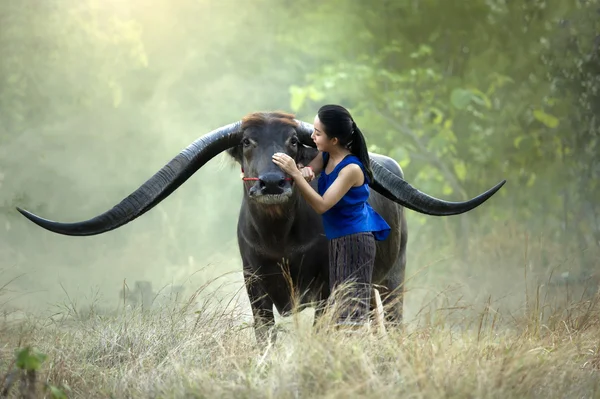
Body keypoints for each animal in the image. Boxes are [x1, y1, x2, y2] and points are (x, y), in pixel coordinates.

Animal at [16, 111, 504, 342]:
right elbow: (264, 337)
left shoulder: (325, 289)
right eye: (248, 141)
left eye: (292, 141)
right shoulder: (255, 288)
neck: (281, 239)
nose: (271, 181)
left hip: (393, 278)